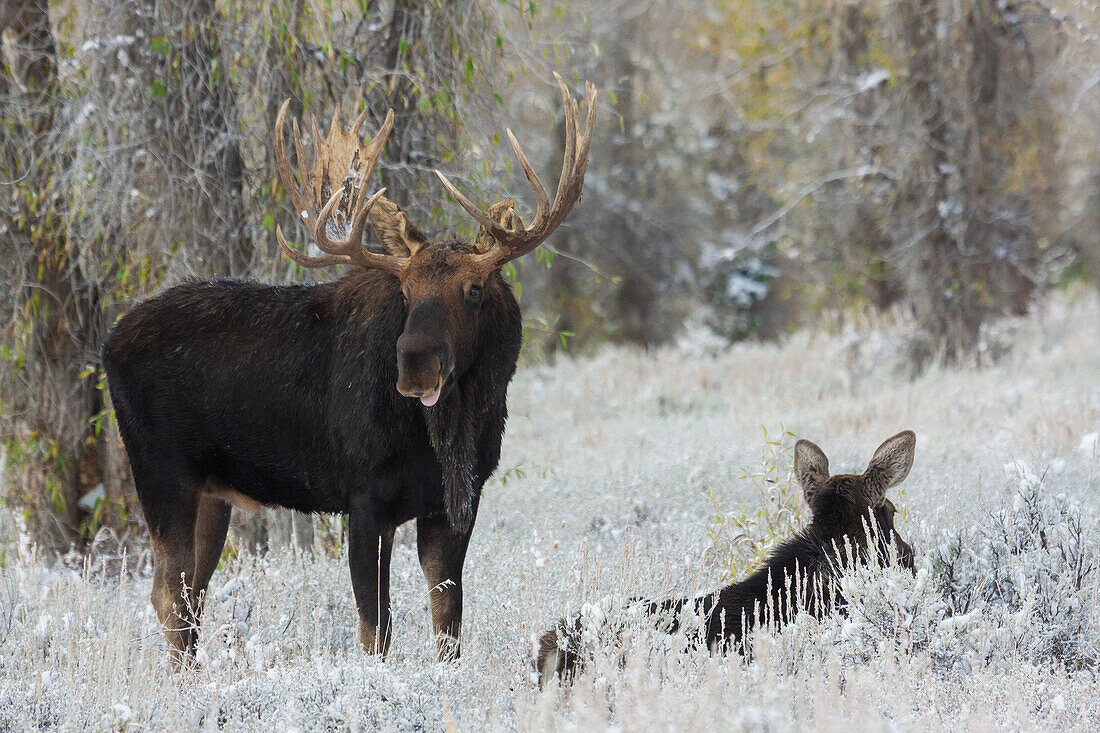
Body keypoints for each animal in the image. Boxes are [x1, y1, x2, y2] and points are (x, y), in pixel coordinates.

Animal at [102, 74, 598, 660]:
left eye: (474, 289)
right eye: (405, 291)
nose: (415, 365)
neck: (450, 434)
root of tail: (108, 344)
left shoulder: (455, 502)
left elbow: (448, 622)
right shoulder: (363, 500)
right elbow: (374, 629)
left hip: (211, 493)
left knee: (189, 596)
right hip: (161, 473)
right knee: (168, 597)